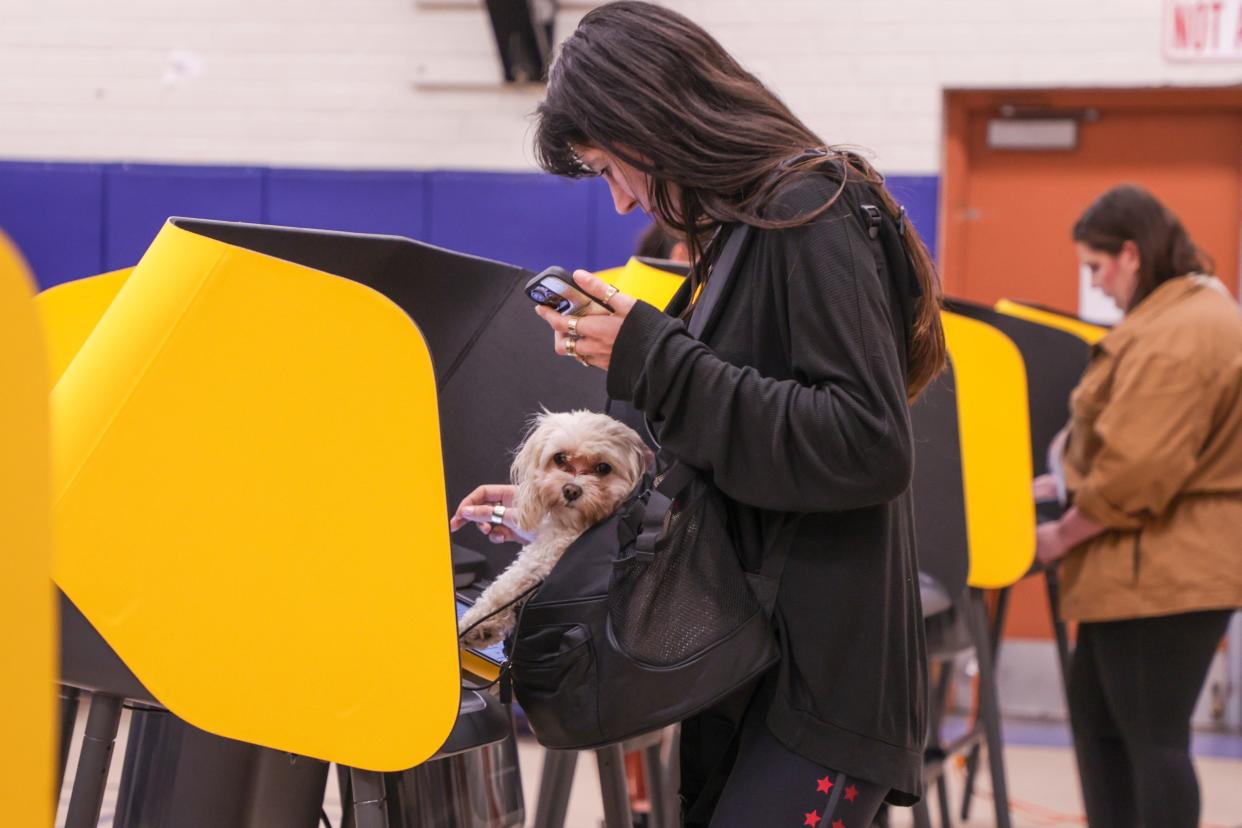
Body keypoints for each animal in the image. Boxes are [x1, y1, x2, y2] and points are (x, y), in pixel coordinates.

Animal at [457, 412, 650, 650]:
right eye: (560, 458)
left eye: (603, 468)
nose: (571, 490)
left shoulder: (545, 553)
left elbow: (505, 587)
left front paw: (475, 625)